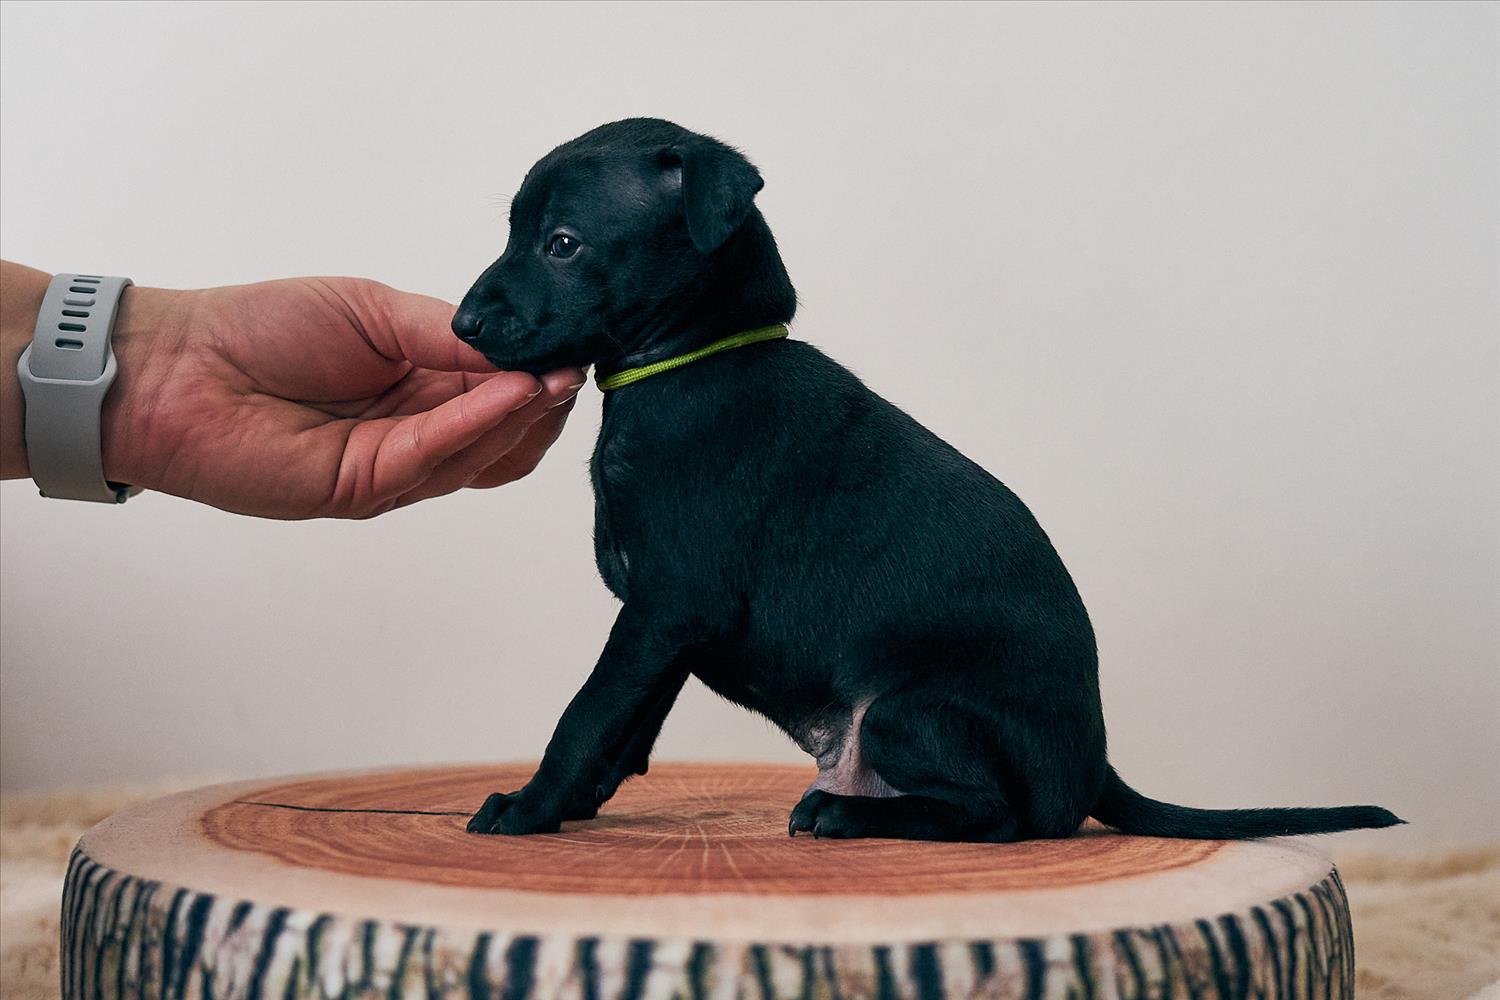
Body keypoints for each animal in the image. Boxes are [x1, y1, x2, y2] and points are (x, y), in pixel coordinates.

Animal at [452, 118, 1401, 842]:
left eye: (562, 244)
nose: (462, 325)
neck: (692, 358)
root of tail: (1094, 767)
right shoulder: (666, 627)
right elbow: (627, 724)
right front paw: (571, 803)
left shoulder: (669, 605)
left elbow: (587, 712)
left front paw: (529, 806)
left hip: (906, 710)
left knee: (1002, 816)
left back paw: (843, 814)